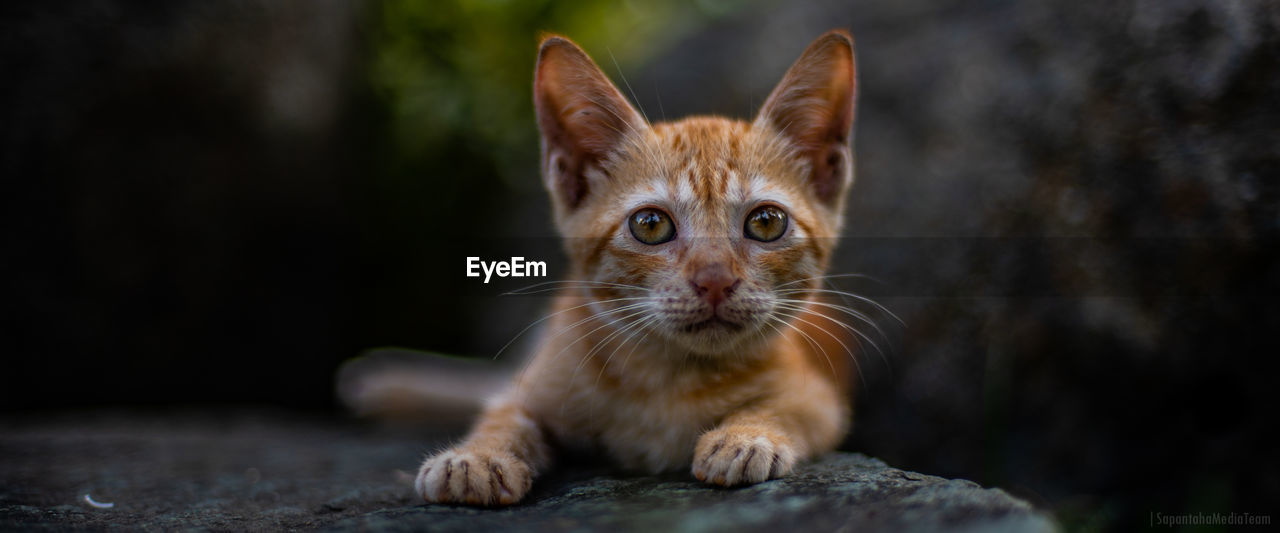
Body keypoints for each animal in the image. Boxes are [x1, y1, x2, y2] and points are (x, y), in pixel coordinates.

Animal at [419, 31, 860, 504]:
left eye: (766, 222)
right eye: (650, 225)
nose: (715, 280)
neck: (667, 380)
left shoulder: (820, 396)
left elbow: (785, 406)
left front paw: (746, 435)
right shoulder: (532, 388)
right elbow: (504, 415)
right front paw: (476, 456)